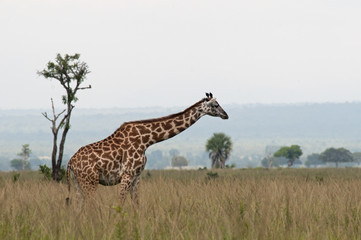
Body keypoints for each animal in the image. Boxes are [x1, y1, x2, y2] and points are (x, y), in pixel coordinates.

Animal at [65, 92, 228, 204]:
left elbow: (136, 204)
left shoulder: (137, 176)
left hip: (79, 183)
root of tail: (70, 162)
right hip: (90, 182)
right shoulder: (127, 174)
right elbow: (120, 203)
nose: (226, 115)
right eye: (215, 105)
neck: (146, 140)